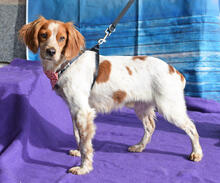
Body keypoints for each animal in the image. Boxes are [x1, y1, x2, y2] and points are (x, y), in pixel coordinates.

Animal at [19, 16, 204, 175]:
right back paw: (139, 147)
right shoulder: (74, 109)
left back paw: (197, 153)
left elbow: (86, 143)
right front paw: (78, 152)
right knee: (150, 127)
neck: (68, 63)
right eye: (43, 35)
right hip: (142, 107)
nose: (50, 51)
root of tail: (175, 71)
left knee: (192, 127)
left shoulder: (83, 111)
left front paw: (84, 168)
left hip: (170, 108)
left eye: (62, 38)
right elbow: (78, 135)